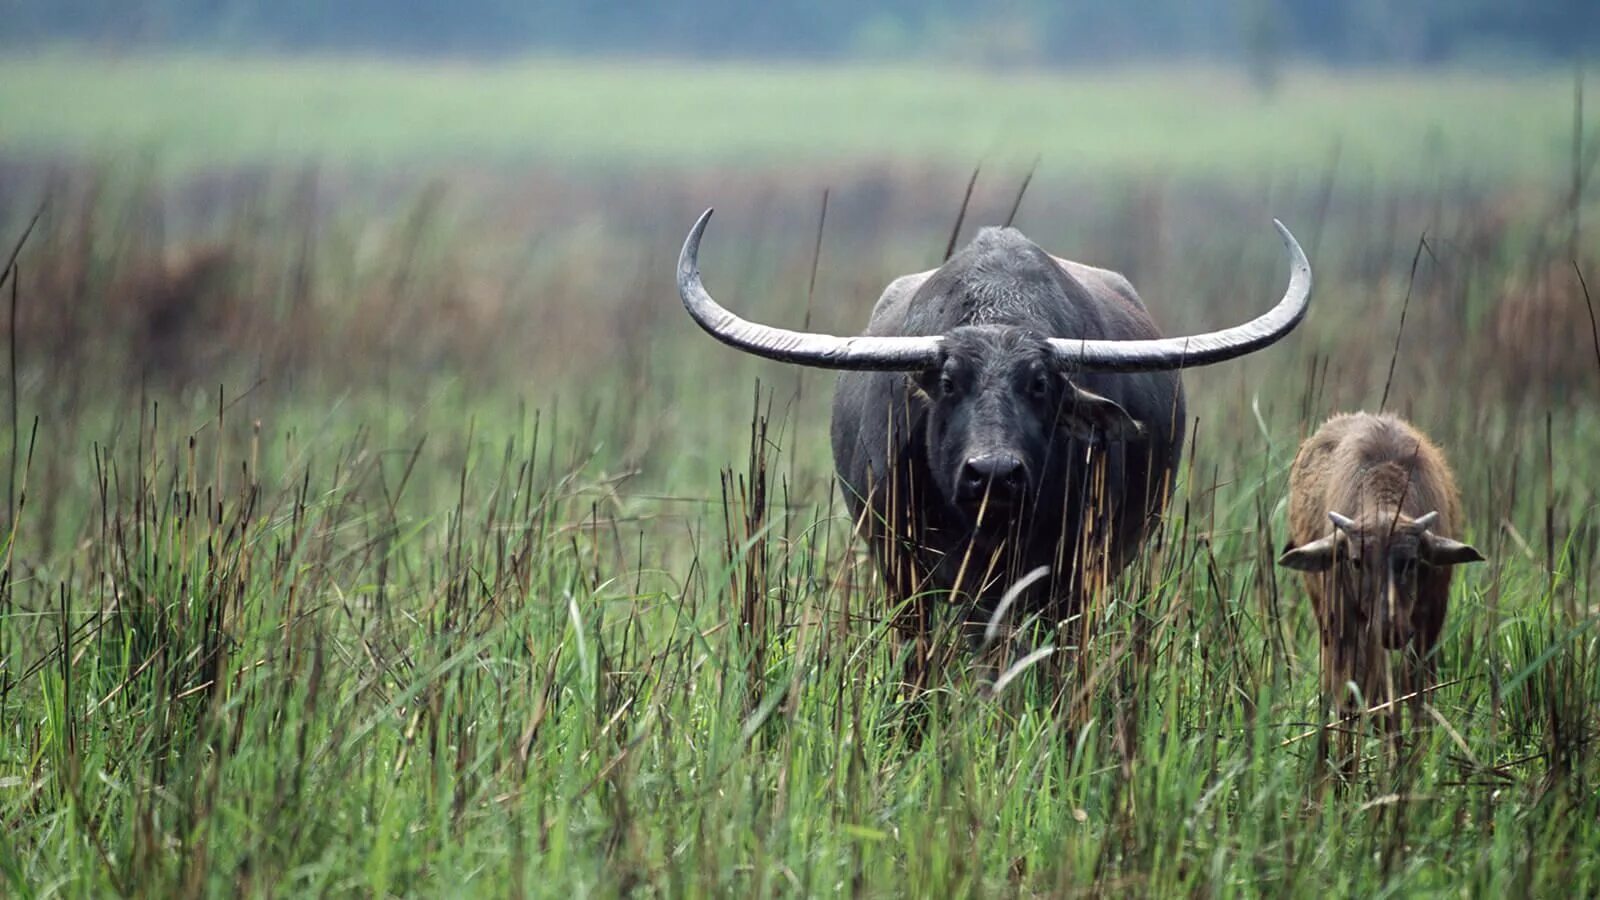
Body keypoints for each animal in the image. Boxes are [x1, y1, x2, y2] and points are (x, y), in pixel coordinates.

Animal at [1273, 413, 1484, 762]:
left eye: (1410, 562)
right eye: (1357, 561)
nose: (1392, 629)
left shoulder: (1428, 625)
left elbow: (1417, 693)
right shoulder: (1344, 624)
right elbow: (1348, 693)